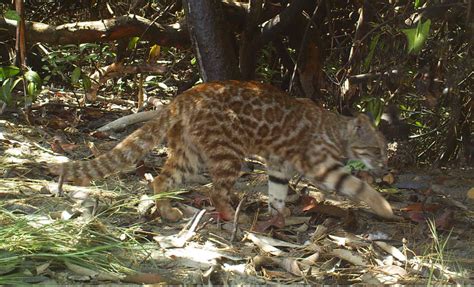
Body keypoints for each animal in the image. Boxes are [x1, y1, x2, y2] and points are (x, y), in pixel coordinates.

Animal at [50, 81, 394, 223]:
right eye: (377, 150)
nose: (385, 166)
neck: (337, 129)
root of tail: (184, 96)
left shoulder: (279, 167)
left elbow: (277, 193)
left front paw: (278, 215)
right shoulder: (321, 165)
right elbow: (357, 185)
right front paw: (384, 206)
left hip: (189, 156)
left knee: (160, 180)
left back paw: (168, 212)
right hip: (229, 152)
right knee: (215, 191)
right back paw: (231, 215)